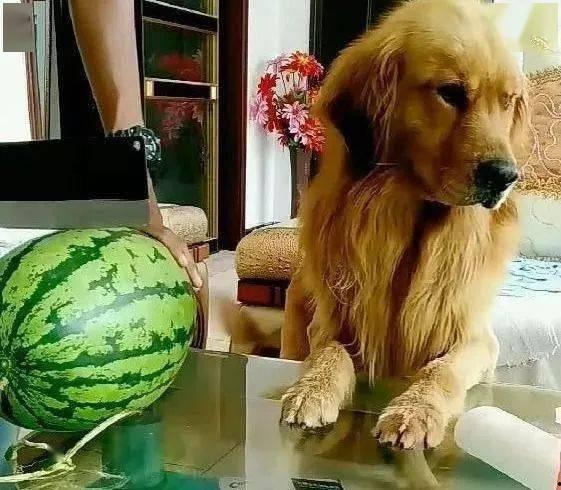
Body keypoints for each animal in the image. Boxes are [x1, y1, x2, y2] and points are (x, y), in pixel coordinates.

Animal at [280, 0, 528, 450]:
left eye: (508, 101)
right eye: (450, 93)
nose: (505, 176)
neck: (415, 230)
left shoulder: (476, 339)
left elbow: (441, 369)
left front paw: (415, 409)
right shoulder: (331, 324)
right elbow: (330, 354)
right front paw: (312, 390)